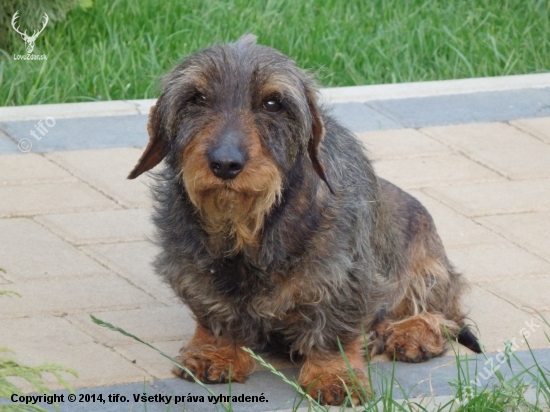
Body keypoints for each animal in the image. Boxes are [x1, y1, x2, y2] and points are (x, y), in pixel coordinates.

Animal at [129, 34, 484, 406]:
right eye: (196, 98)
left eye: (273, 103)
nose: (225, 163)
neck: (247, 228)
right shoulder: (194, 270)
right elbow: (215, 313)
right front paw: (217, 352)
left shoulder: (344, 277)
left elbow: (332, 331)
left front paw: (334, 375)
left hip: (424, 268)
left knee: (442, 314)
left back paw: (411, 333)